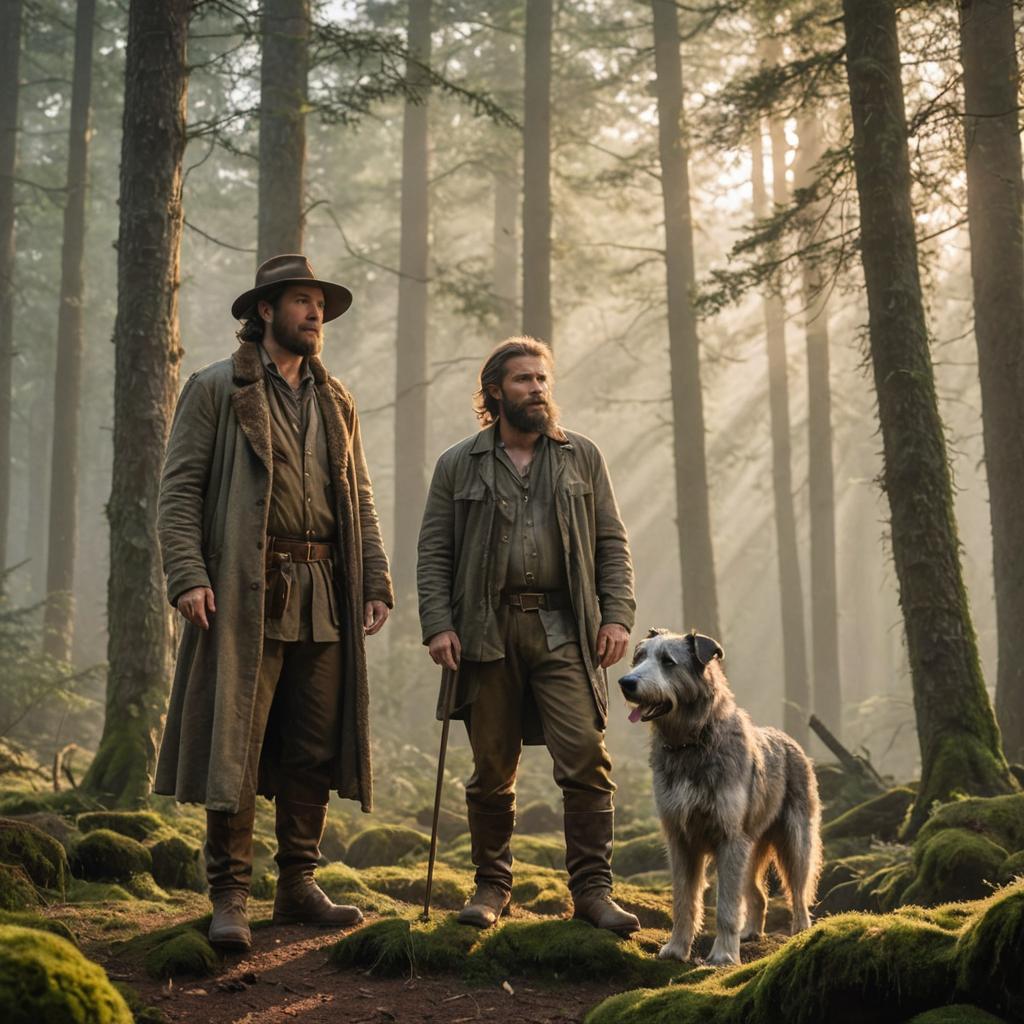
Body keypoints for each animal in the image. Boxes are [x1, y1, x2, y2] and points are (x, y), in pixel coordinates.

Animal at [614, 626, 823, 962]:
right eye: (639, 657)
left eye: (668, 661)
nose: (626, 683)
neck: (692, 743)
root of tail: (789, 740)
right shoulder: (680, 840)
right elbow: (684, 901)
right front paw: (676, 948)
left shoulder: (729, 838)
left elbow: (726, 907)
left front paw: (723, 955)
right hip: (751, 848)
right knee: (759, 895)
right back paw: (751, 932)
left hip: (794, 843)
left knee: (798, 892)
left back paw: (801, 931)